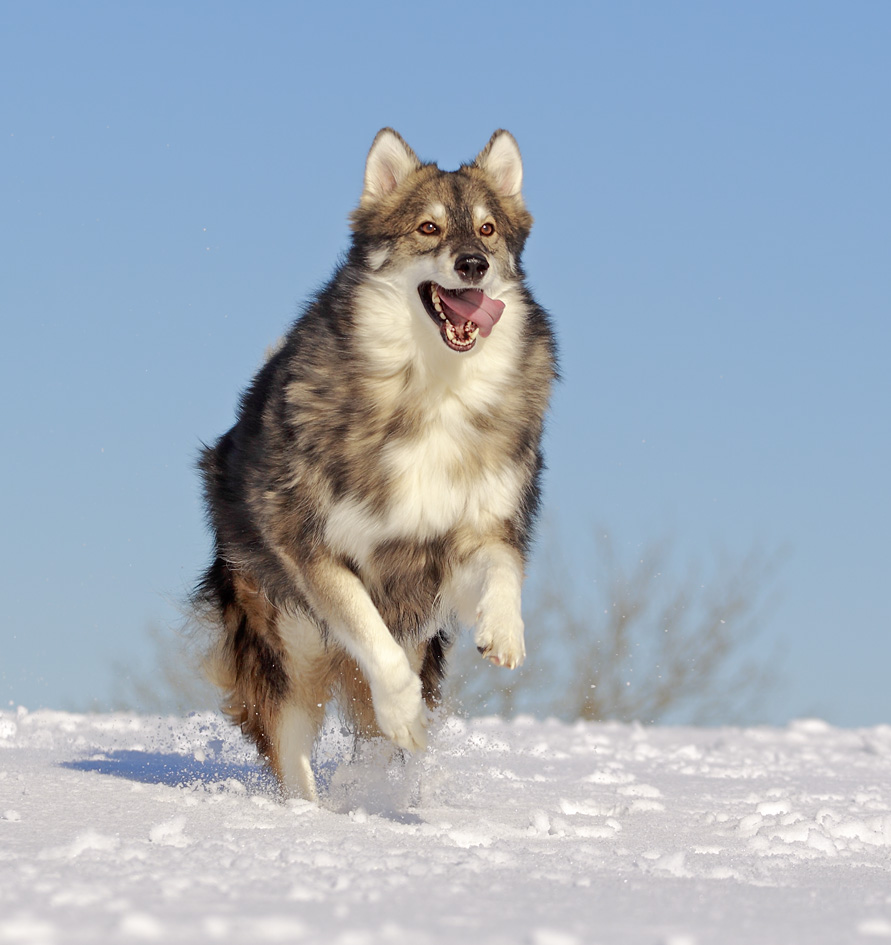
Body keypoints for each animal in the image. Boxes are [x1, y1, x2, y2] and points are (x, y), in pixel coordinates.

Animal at [199, 129, 556, 800]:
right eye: (427, 227)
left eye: (489, 229)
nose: (473, 264)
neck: (432, 392)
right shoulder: (312, 547)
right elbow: (372, 638)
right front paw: (406, 712)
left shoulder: (458, 544)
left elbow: (503, 566)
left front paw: (504, 631)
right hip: (289, 645)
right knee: (293, 748)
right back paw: (309, 811)